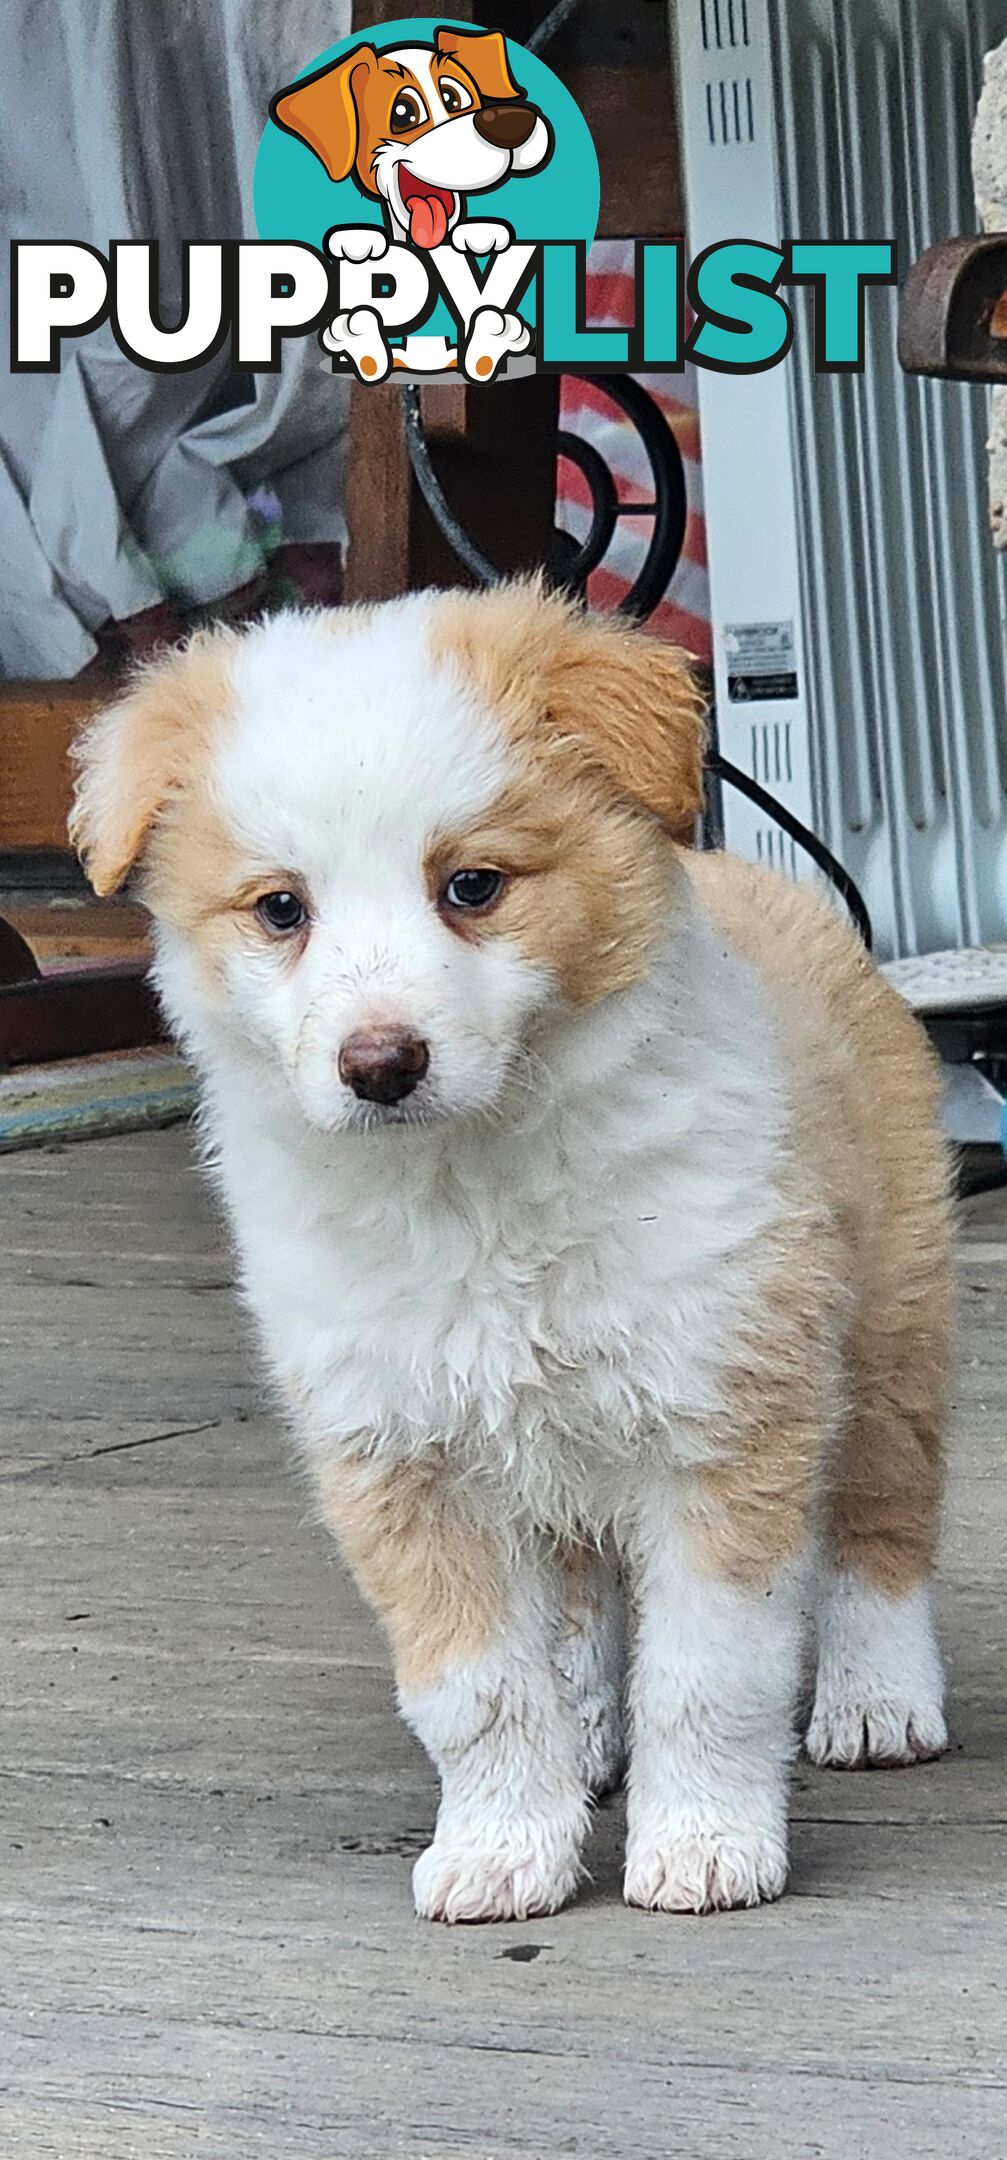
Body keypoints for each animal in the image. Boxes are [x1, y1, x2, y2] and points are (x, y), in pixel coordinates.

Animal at [70, 587, 950, 1926]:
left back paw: (877, 1699)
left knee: (879, 1519)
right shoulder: (399, 1452)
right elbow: (474, 1690)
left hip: (888, 1317)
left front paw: (703, 1846)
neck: (471, 1186)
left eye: (472, 884)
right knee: (578, 1588)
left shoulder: (720, 1410)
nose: (380, 1065)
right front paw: (501, 1849)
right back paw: (585, 1729)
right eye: (281, 911)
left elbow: (709, 1670)